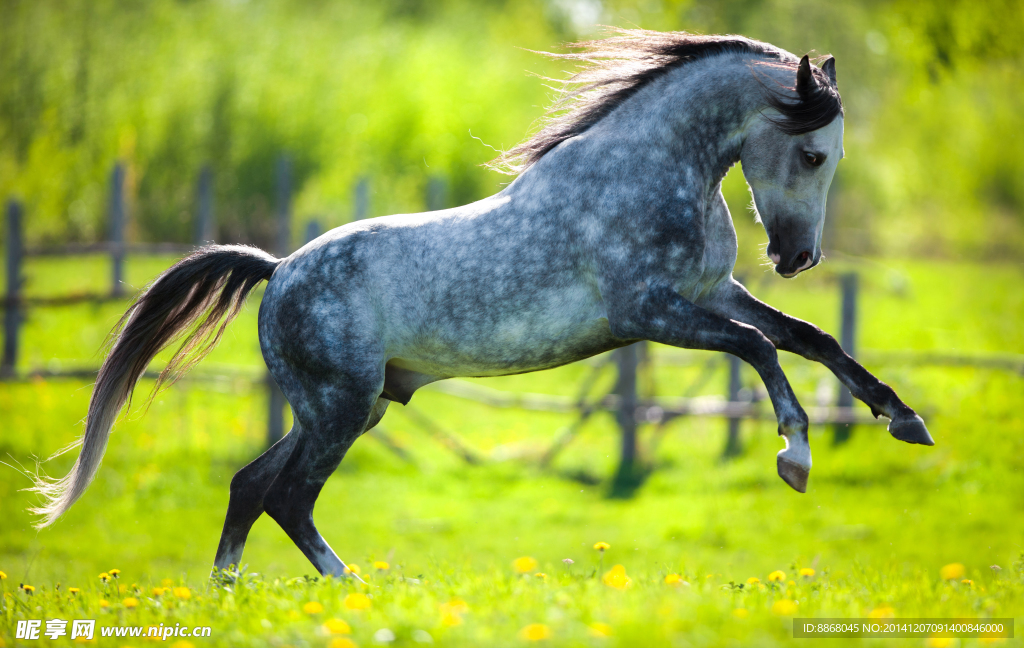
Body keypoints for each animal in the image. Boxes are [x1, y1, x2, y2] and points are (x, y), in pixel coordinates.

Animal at [29, 29, 933, 577]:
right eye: (813, 153)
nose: (796, 257)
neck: (652, 174)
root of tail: (278, 269)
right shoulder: (651, 315)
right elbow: (762, 349)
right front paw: (795, 456)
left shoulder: (713, 293)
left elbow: (812, 339)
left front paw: (905, 420)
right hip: (339, 408)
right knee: (286, 496)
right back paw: (348, 589)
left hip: (350, 407)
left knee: (251, 486)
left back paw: (235, 593)